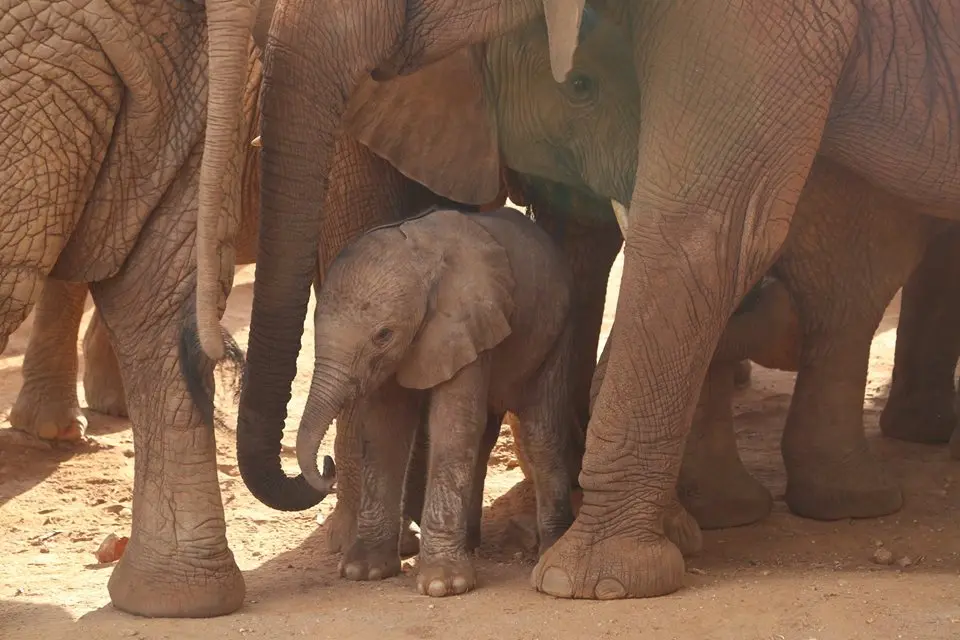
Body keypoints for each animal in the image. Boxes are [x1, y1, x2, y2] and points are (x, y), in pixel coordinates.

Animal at [296, 208, 572, 596]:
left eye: (383, 335)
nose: (327, 467)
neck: (421, 257)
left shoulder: (467, 323)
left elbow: (452, 425)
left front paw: (444, 585)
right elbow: (385, 429)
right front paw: (363, 571)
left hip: (555, 334)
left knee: (541, 433)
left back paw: (550, 548)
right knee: (485, 437)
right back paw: (470, 543)